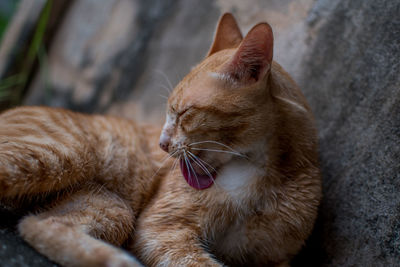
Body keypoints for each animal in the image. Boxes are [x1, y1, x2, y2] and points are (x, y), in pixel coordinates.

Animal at [0, 13, 318, 267]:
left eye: (185, 113)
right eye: (169, 111)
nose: (162, 144)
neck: (258, 173)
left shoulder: (275, 258)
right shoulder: (160, 230)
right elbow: (199, 264)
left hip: (112, 207)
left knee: (37, 224)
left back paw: (114, 259)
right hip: (62, 156)